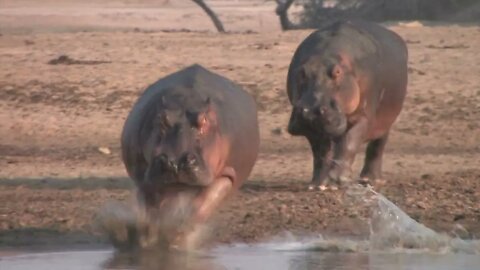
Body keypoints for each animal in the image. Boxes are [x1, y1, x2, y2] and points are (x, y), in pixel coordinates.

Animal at [122, 64, 260, 248]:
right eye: (161, 119)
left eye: (204, 120)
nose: (175, 161)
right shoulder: (144, 173)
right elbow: (152, 209)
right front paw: (148, 239)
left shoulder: (226, 175)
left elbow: (201, 206)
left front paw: (176, 237)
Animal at [286, 20, 406, 190]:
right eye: (302, 73)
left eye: (337, 73)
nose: (310, 111)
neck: (326, 55)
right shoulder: (313, 128)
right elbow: (320, 152)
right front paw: (318, 185)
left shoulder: (363, 117)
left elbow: (349, 143)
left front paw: (337, 180)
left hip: (386, 119)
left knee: (377, 146)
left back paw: (370, 180)